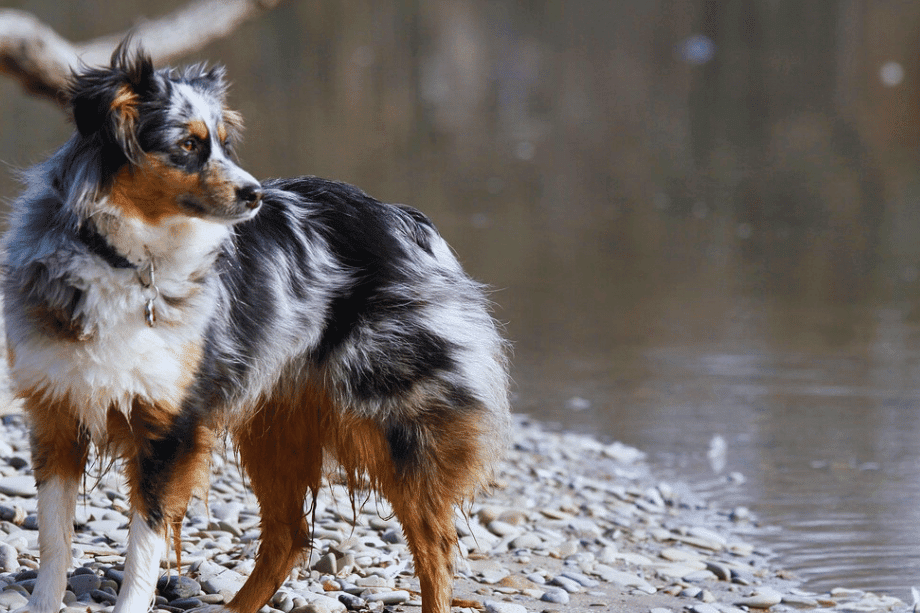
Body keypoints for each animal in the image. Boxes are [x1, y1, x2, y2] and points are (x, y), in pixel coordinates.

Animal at [1, 43, 510, 612]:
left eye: (225, 144)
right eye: (188, 144)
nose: (255, 194)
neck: (123, 258)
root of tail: (406, 221)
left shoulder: (170, 426)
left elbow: (143, 549)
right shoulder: (56, 413)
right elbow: (54, 542)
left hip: (397, 421)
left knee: (435, 545)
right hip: (277, 425)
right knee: (290, 534)